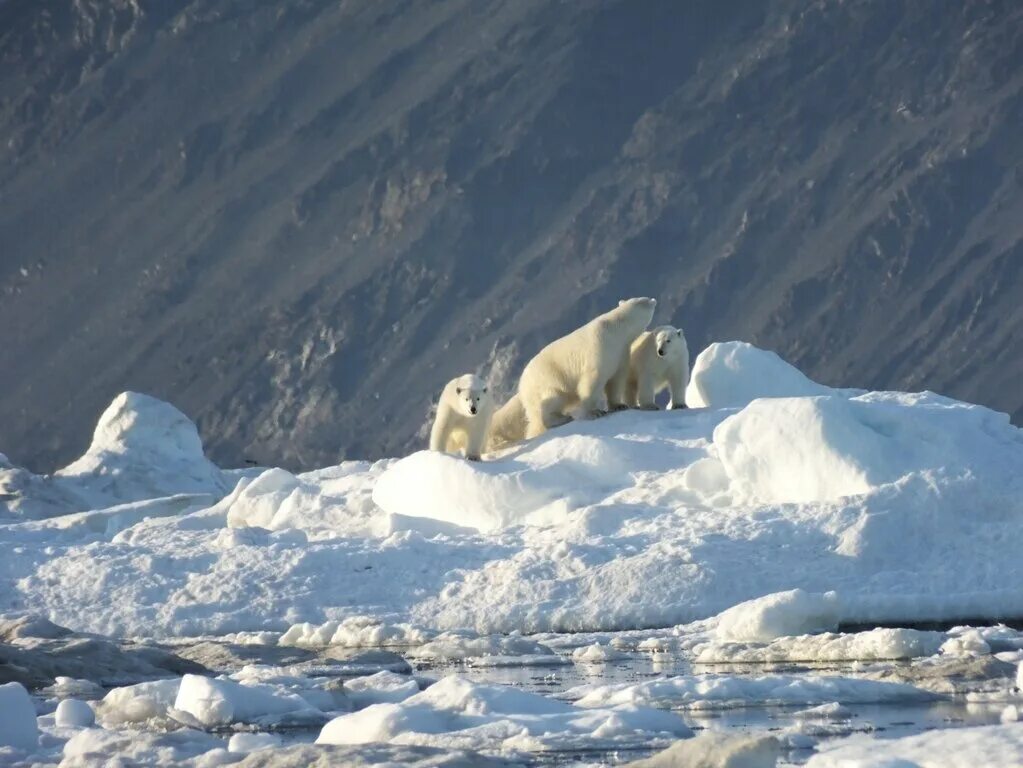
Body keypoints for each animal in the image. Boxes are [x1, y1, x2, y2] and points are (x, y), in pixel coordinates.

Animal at [519, 296, 654, 437]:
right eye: (645, 300)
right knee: (552, 399)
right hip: (548, 379)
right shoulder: (600, 345)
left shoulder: (621, 352)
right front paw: (595, 412)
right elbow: (592, 380)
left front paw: (619, 405)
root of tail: (521, 385)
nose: (653, 299)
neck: (616, 330)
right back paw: (561, 418)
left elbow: (616, 380)